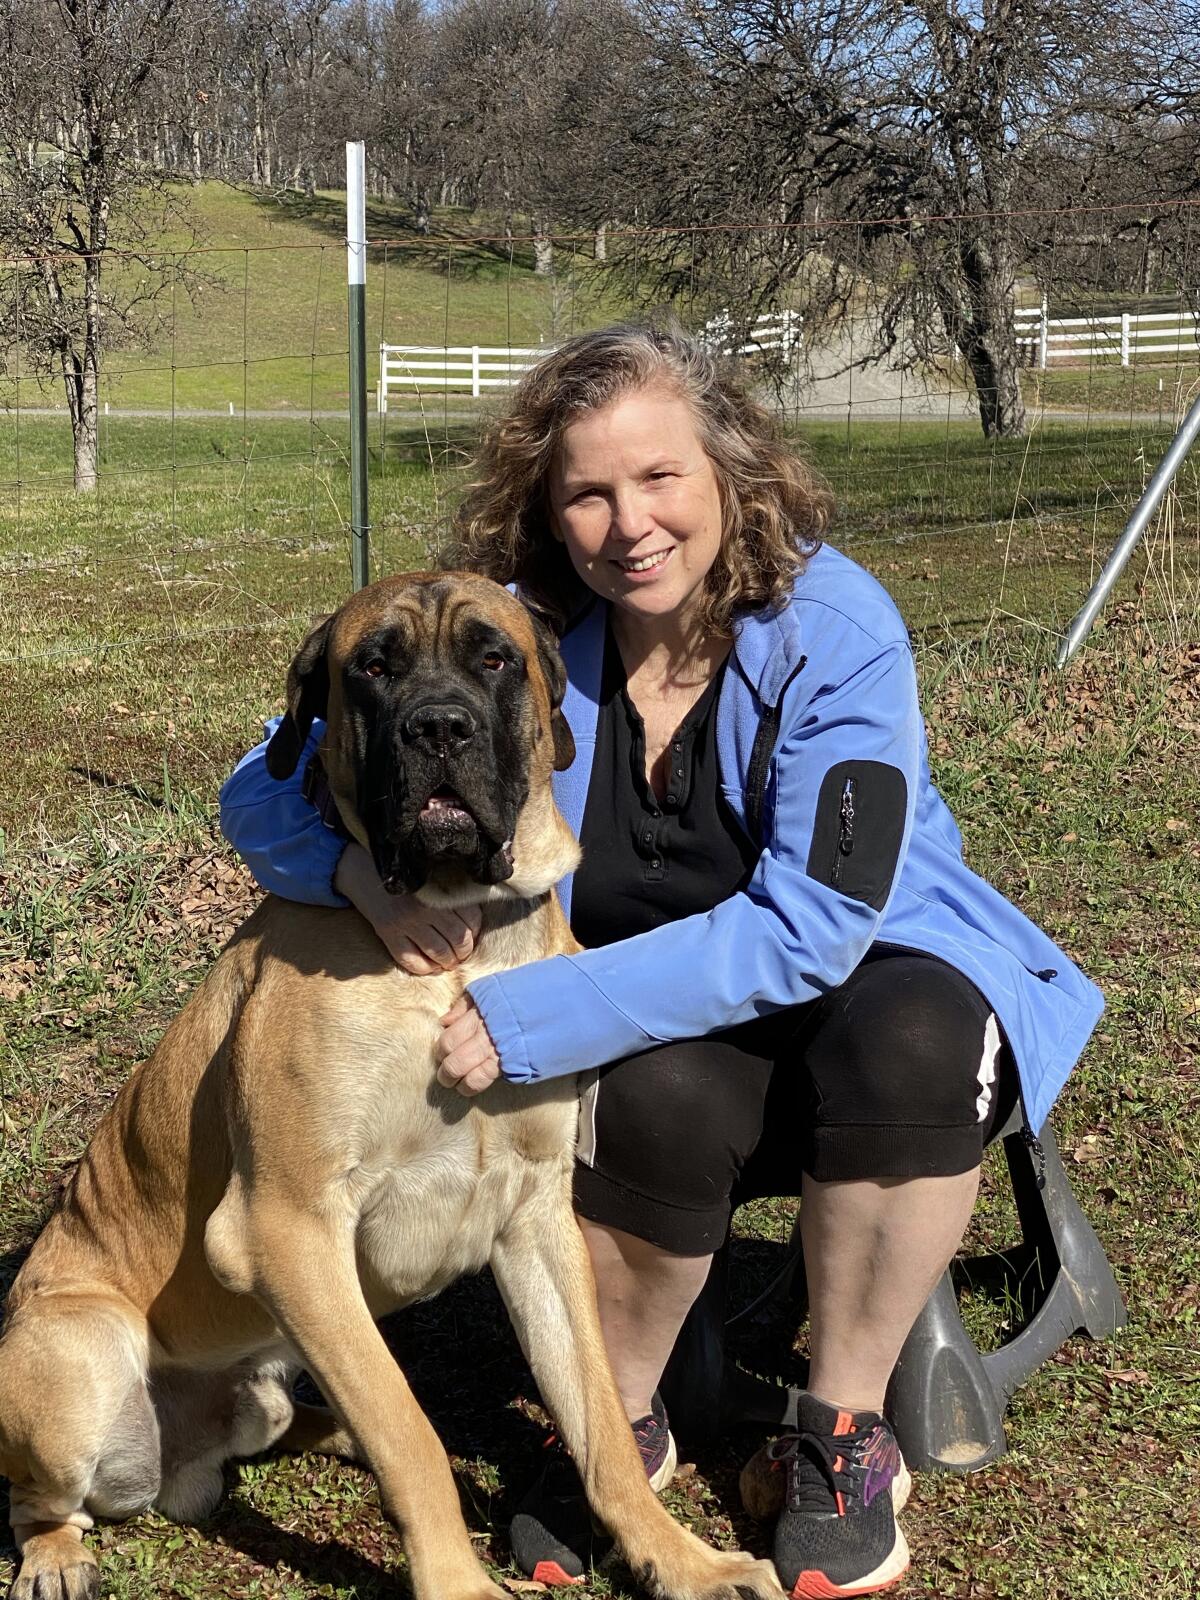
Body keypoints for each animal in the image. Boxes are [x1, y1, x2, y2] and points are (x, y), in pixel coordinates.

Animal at [0, 576, 784, 1600]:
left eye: (494, 657)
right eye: (373, 666)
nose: (439, 727)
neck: (460, 946)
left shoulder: (538, 1219)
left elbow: (600, 1419)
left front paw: (682, 1559)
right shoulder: (287, 1224)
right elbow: (408, 1433)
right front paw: (458, 1583)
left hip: (263, 1380)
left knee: (306, 1414)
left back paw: (331, 1436)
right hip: (78, 1356)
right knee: (41, 1502)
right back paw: (57, 1554)